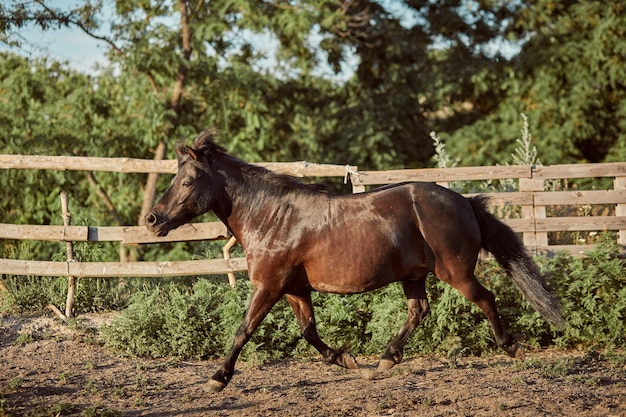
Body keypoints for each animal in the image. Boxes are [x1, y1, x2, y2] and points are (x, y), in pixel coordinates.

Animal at [145, 128, 560, 392]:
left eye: (188, 181)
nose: (152, 219)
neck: (272, 217)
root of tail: (465, 202)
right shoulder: (294, 289)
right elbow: (309, 332)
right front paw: (347, 360)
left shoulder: (269, 286)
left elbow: (243, 330)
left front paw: (218, 378)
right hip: (413, 275)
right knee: (418, 311)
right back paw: (385, 360)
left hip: (454, 272)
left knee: (485, 298)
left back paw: (512, 347)